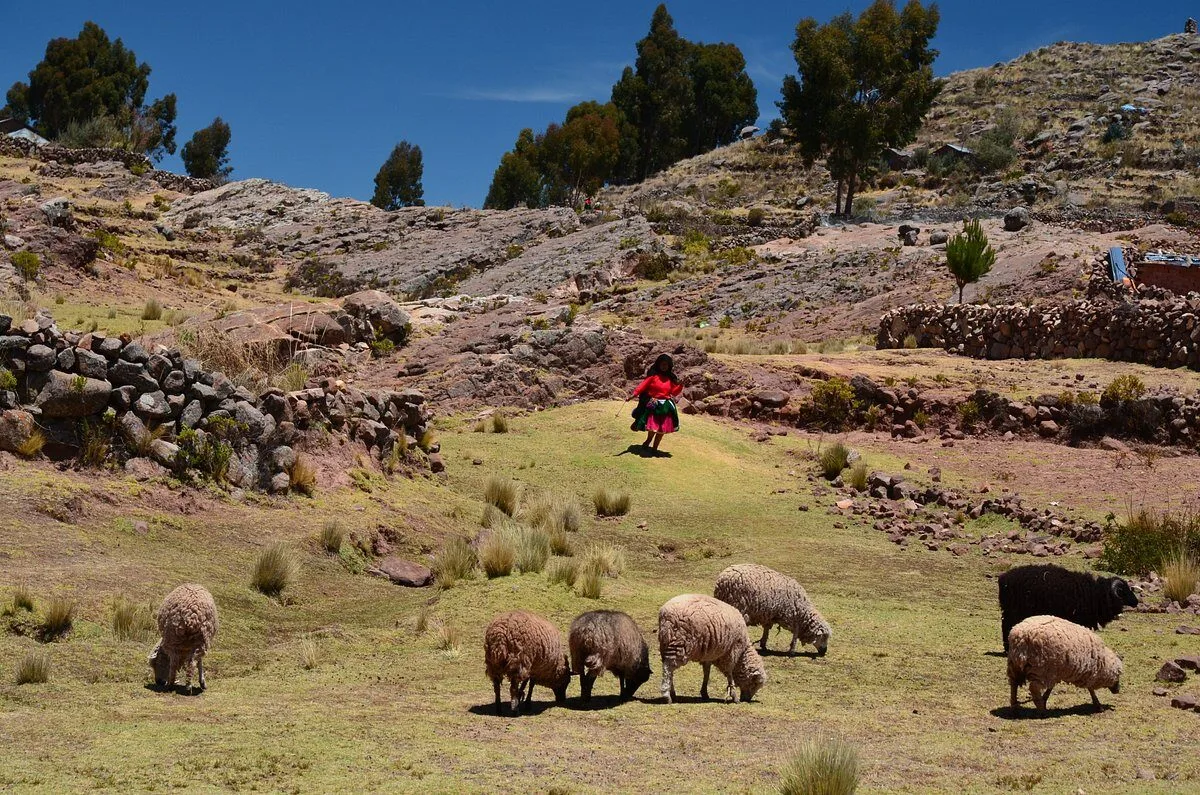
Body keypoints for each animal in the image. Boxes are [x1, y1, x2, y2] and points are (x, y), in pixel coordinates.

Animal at [998, 564, 1138, 651]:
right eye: (1124, 591)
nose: (1136, 602)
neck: (1096, 594)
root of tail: (1004, 578)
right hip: (1013, 611)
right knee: (1006, 626)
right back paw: (1007, 648)